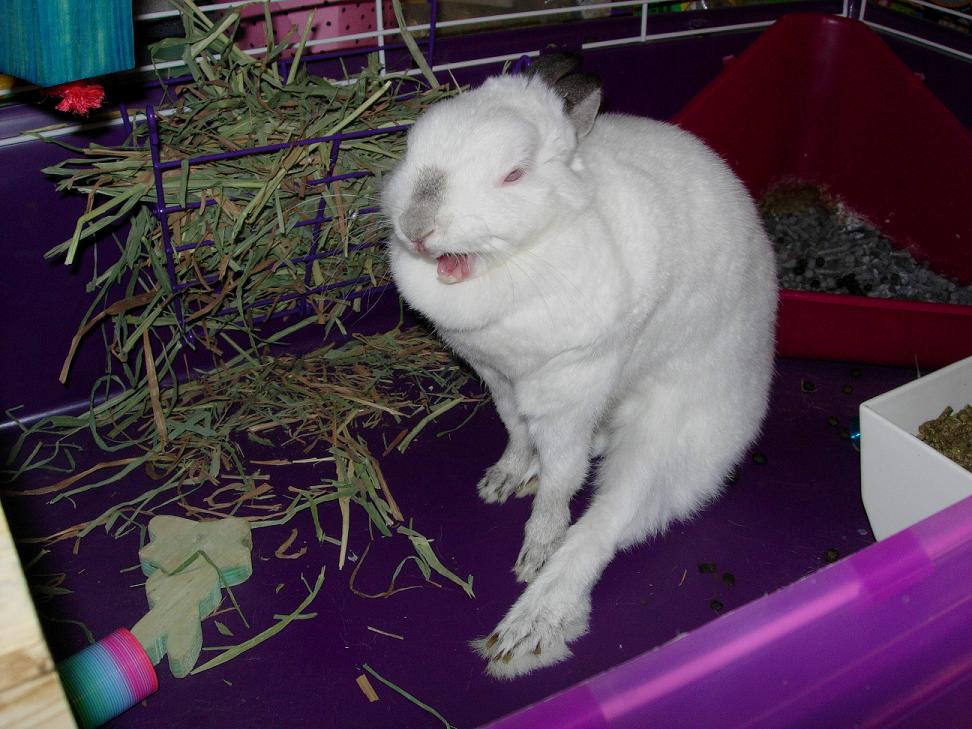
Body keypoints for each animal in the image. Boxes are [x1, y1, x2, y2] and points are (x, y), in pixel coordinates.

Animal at [381, 52, 778, 679]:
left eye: (513, 175)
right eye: (411, 148)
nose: (416, 228)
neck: (520, 260)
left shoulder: (570, 389)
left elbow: (563, 479)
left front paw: (536, 543)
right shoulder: (499, 378)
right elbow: (517, 435)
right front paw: (500, 480)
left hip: (662, 439)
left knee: (607, 522)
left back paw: (528, 625)